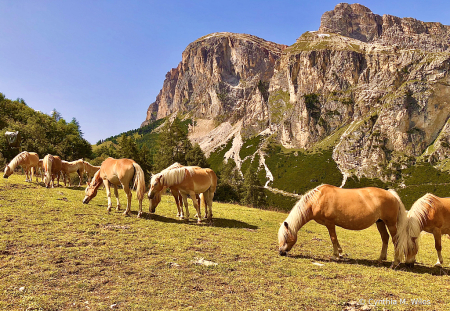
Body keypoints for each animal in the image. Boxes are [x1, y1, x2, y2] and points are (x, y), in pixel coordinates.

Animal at [278, 185, 408, 268]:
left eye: (285, 237)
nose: (281, 252)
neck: (317, 199)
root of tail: (391, 194)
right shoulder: (330, 224)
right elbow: (336, 240)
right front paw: (340, 253)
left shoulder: (330, 223)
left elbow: (333, 238)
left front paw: (335, 256)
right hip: (380, 222)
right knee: (385, 238)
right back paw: (380, 259)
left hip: (390, 223)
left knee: (395, 240)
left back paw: (395, 263)